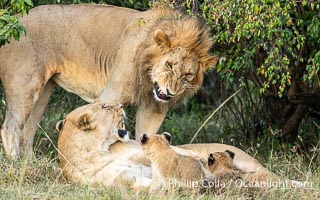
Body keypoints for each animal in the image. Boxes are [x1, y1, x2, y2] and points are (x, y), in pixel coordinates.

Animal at [0, 3, 218, 159]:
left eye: (187, 75)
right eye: (170, 65)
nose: (170, 92)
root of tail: (13, 21)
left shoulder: (154, 108)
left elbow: (145, 136)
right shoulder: (111, 95)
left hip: (44, 91)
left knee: (28, 129)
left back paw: (29, 163)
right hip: (25, 86)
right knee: (10, 128)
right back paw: (15, 164)